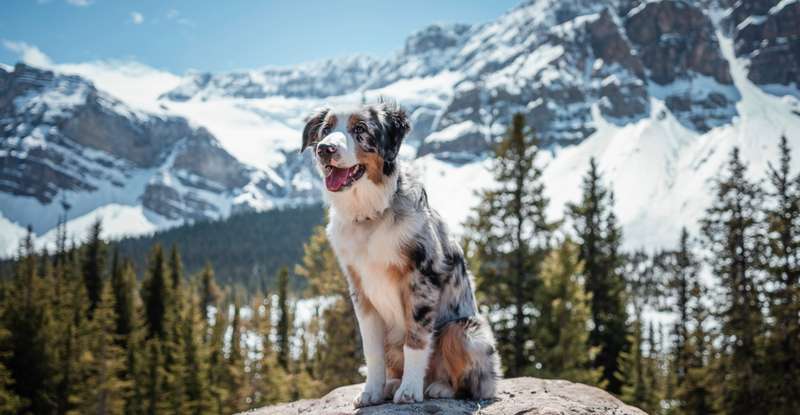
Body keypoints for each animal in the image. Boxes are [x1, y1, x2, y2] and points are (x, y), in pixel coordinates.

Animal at [302, 102, 500, 408]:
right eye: (325, 130)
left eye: (360, 129)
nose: (325, 149)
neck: (370, 214)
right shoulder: (360, 288)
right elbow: (371, 349)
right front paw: (371, 392)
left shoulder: (421, 278)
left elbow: (416, 340)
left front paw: (409, 391)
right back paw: (390, 385)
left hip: (464, 330)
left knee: (472, 384)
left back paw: (437, 388)